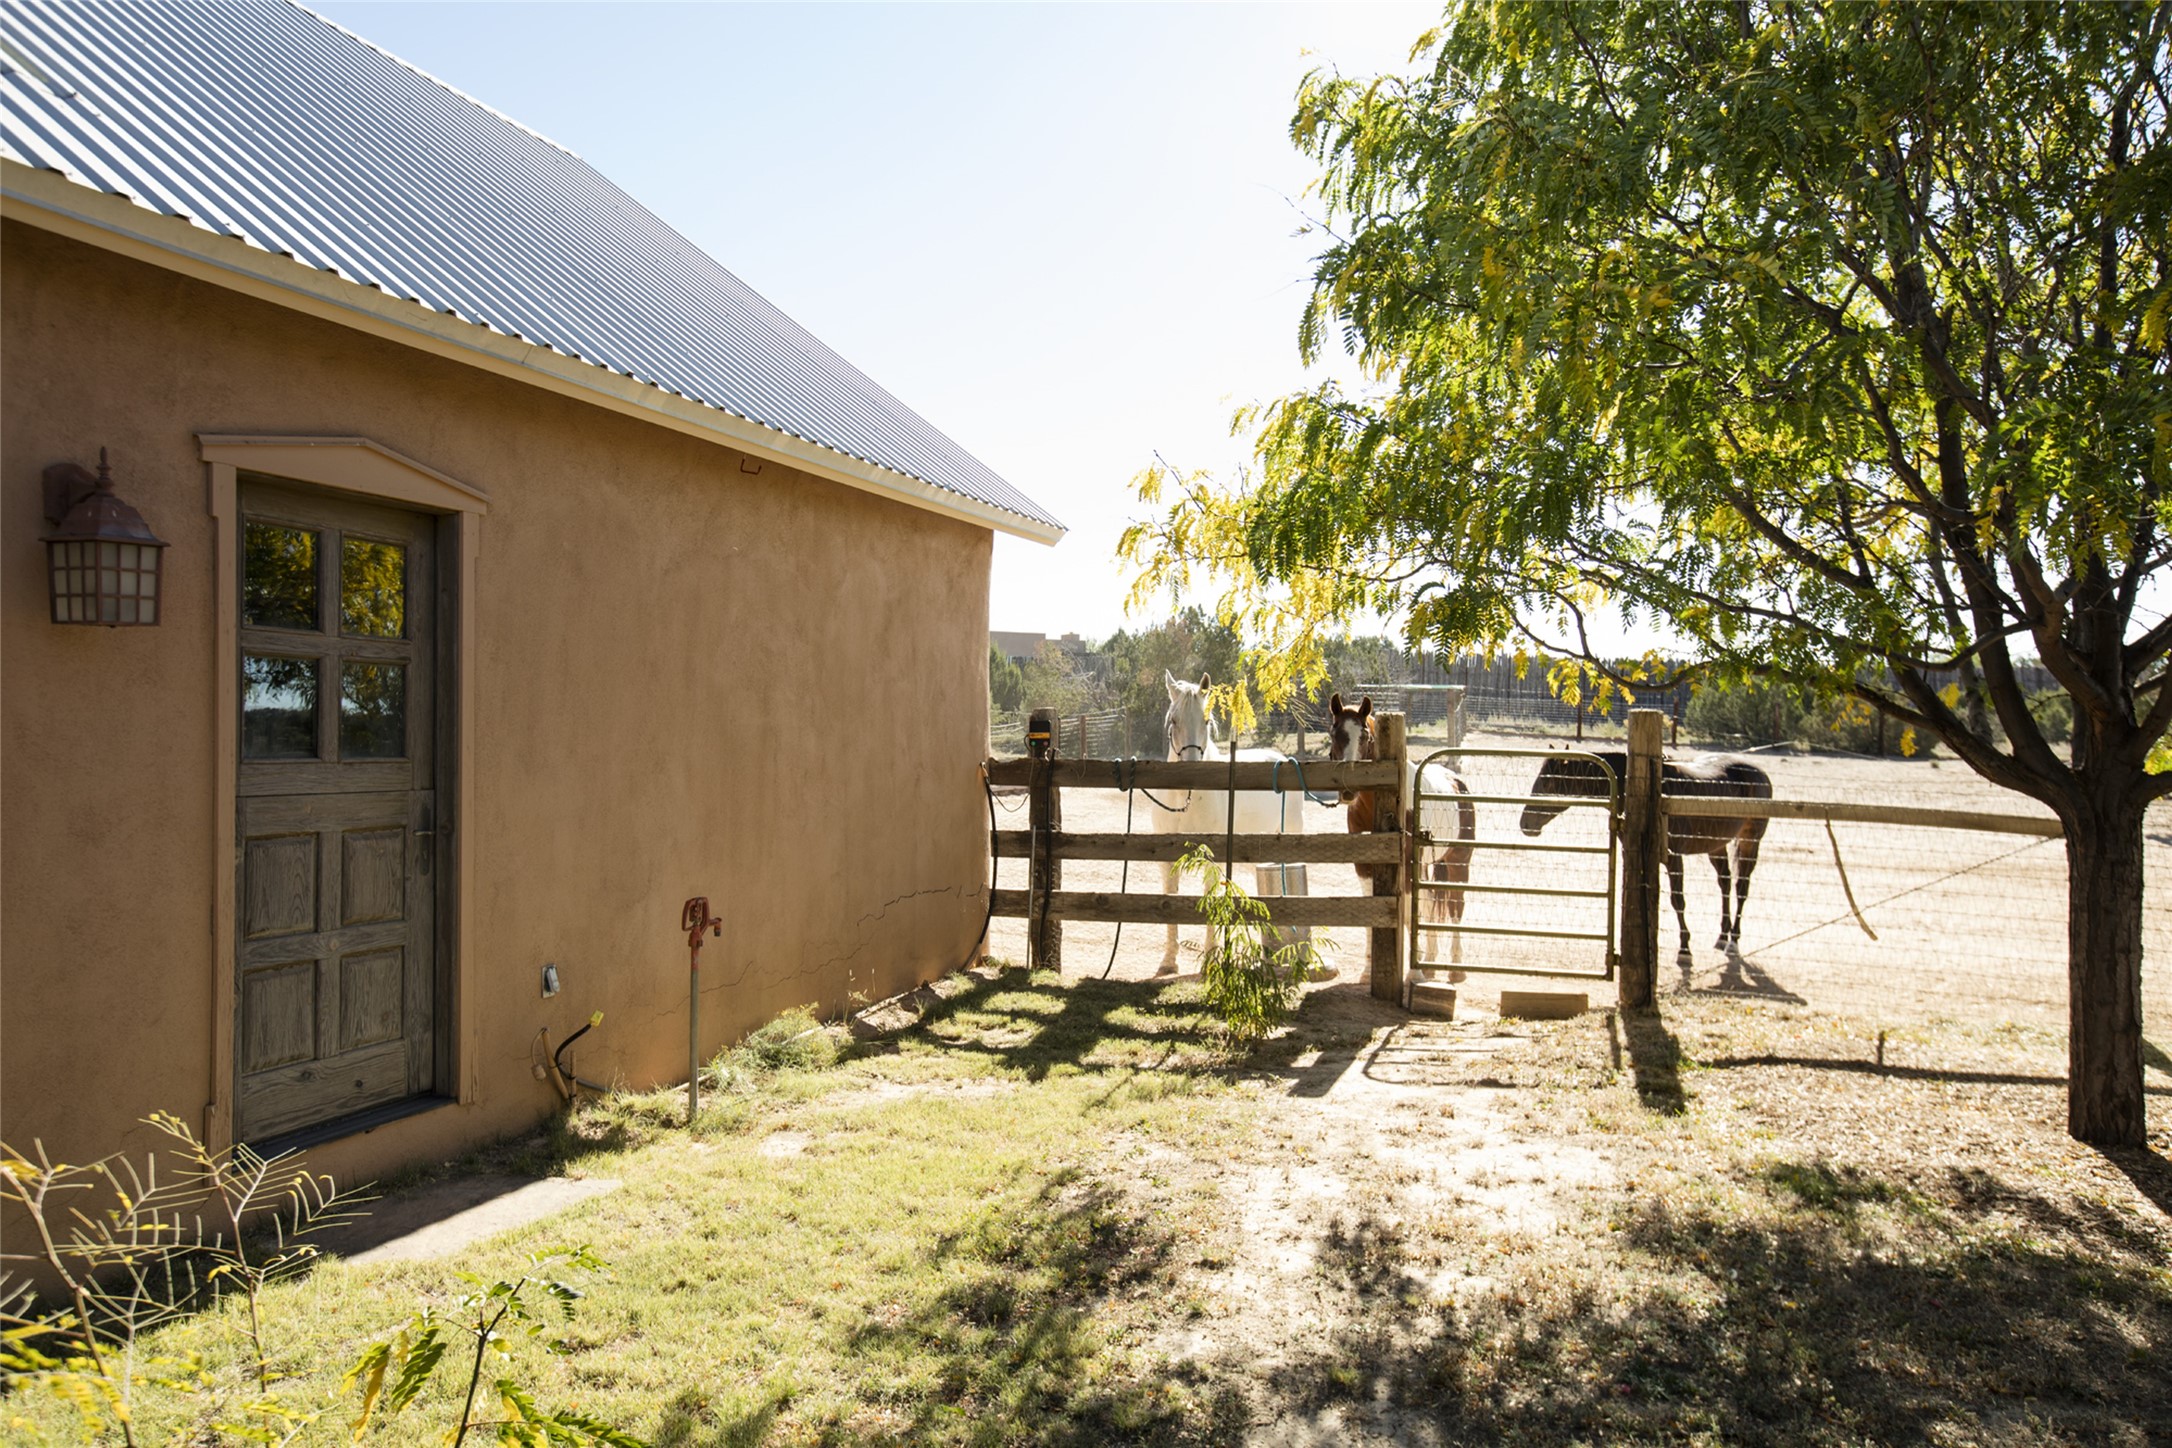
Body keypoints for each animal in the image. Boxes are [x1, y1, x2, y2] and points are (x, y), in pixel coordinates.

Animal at [1155, 672, 1303, 972]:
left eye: (1207, 721)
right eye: (1173, 720)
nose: (1191, 772)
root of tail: (1282, 758)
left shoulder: (1215, 860)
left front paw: (1210, 959)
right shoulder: (1167, 862)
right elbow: (1169, 902)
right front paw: (1169, 961)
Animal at [1320, 694, 1476, 968]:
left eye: (1365, 736)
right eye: (1334, 732)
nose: (1348, 790)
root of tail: (1458, 784)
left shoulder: (1409, 864)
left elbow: (1410, 911)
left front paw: (1415, 965)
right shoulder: (1363, 865)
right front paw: (1369, 964)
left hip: (1458, 862)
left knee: (1456, 905)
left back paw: (1455, 965)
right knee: (1432, 901)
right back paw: (1432, 957)